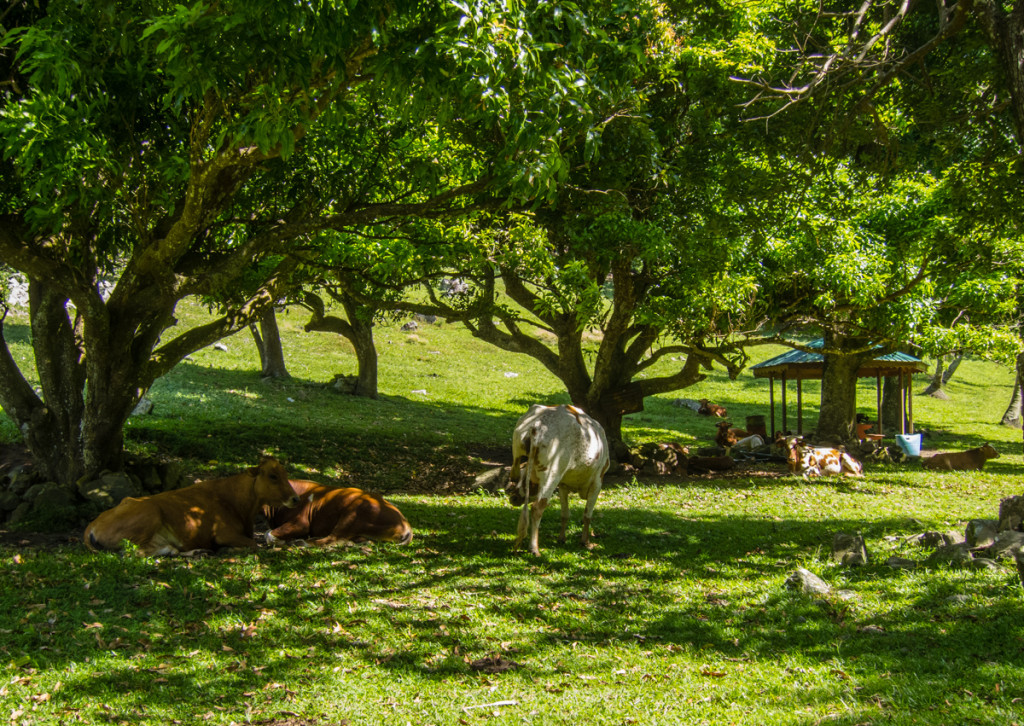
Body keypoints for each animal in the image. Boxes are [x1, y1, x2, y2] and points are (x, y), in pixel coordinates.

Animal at [86, 456, 299, 557]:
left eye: (285, 474)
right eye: (273, 476)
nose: (296, 498)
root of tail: (92, 524)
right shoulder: (223, 533)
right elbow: (254, 544)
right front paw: (227, 550)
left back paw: (198, 552)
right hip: (149, 515)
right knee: (133, 552)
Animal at [264, 479, 415, 544]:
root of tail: (406, 524)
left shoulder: (301, 523)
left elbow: (268, 535)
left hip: (351, 515)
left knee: (330, 539)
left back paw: (302, 542)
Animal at [503, 401, 606, 557]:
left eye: (524, 478)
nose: (513, 498)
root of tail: (536, 427)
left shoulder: (563, 485)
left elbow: (565, 514)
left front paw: (561, 538)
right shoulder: (597, 482)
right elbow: (587, 515)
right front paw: (585, 542)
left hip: (522, 460)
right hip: (551, 474)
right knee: (537, 508)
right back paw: (534, 548)